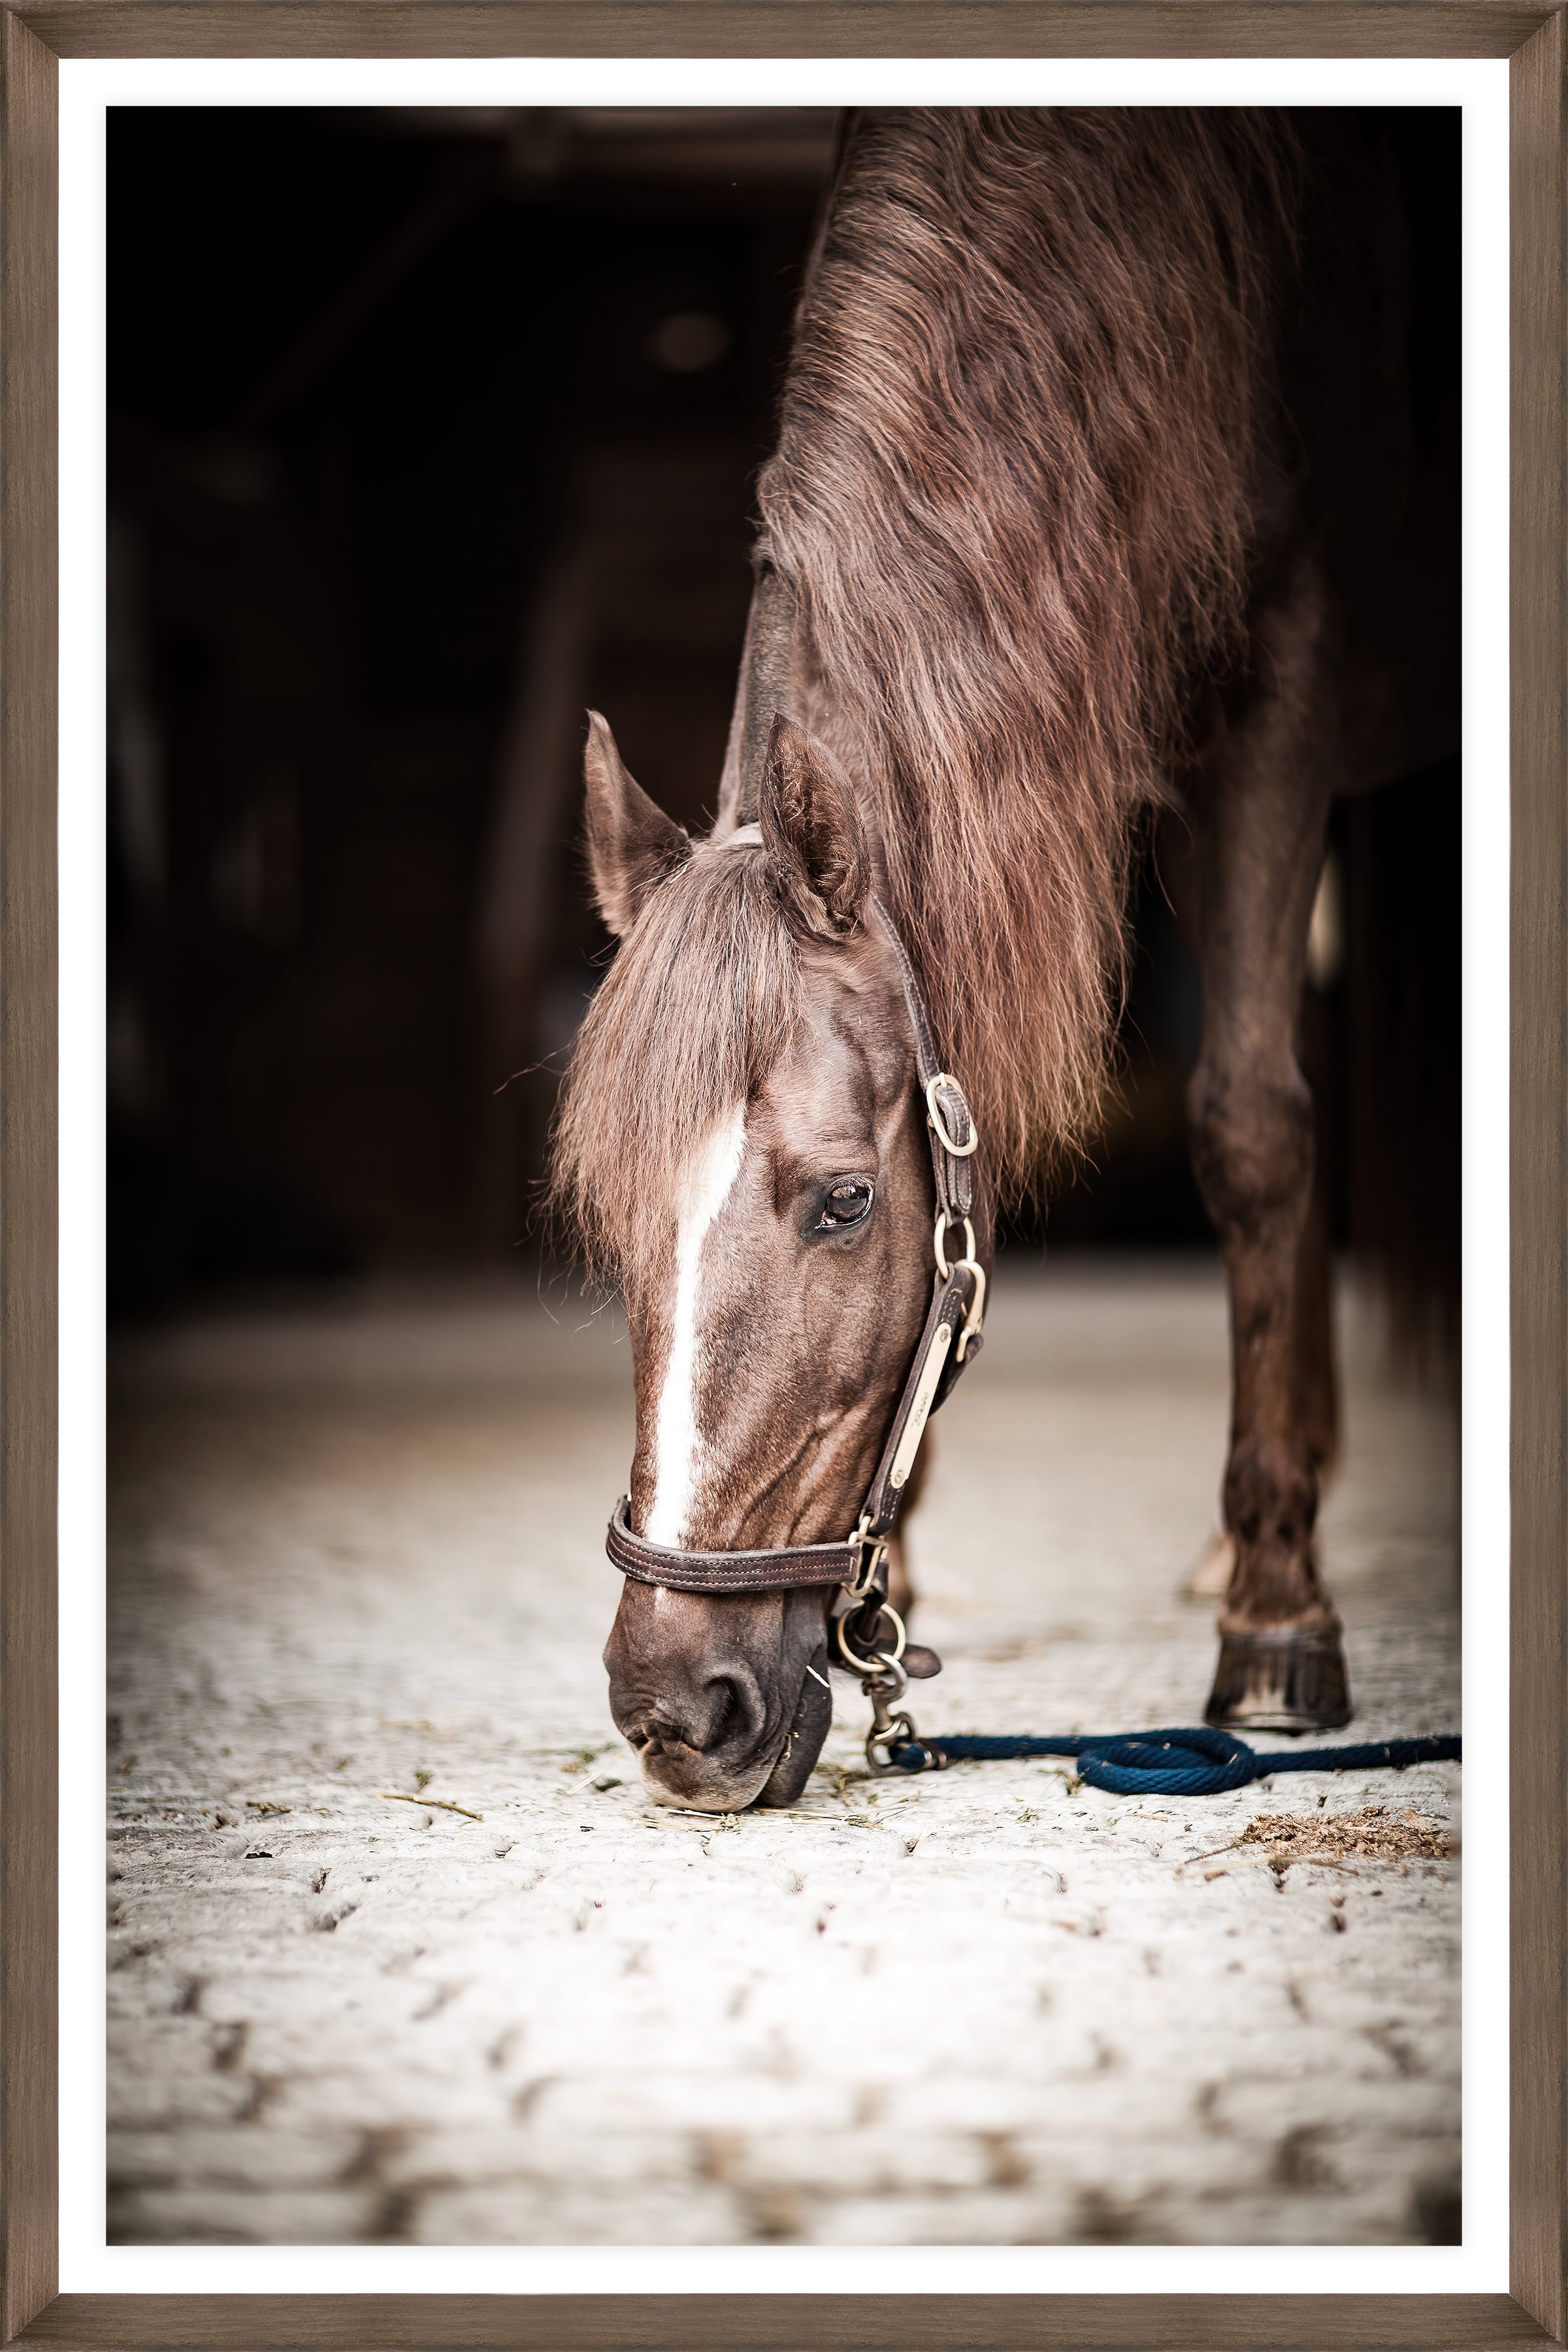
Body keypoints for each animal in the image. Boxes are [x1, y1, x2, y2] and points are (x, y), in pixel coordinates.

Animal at [548, 108, 1459, 1813]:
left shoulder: (1275, 715)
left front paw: (1276, 1619)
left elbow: (1249, 1131)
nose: (673, 1712)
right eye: (610, 1221)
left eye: (845, 1202)